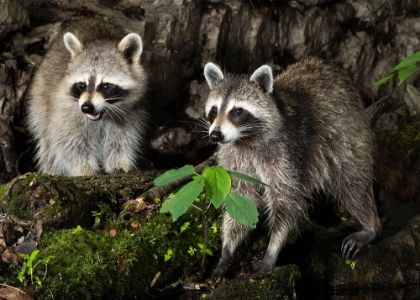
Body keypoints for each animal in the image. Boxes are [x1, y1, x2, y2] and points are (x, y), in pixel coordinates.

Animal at [25, 18, 148, 176]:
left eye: (105, 86)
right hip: (40, 101)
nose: (86, 107)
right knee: (48, 145)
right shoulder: (65, 112)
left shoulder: (130, 114)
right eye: (81, 85)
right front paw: (85, 170)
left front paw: (120, 163)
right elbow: (68, 143)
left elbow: (121, 140)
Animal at [203, 57, 384, 278]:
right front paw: (227, 250)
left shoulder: (285, 154)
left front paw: (272, 249)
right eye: (214, 110)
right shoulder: (234, 158)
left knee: (352, 183)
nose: (215, 135)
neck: (245, 140)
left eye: (237, 111)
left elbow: (286, 200)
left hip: (349, 137)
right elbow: (240, 198)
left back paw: (371, 226)